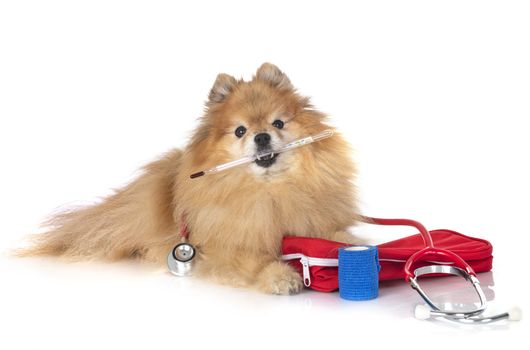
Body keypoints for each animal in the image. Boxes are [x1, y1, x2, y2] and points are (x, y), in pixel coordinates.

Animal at [19, 63, 358, 296]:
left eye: (278, 123)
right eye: (240, 131)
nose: (261, 137)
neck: (270, 191)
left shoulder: (311, 219)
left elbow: (333, 233)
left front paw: (350, 243)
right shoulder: (225, 246)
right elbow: (253, 261)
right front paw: (280, 276)